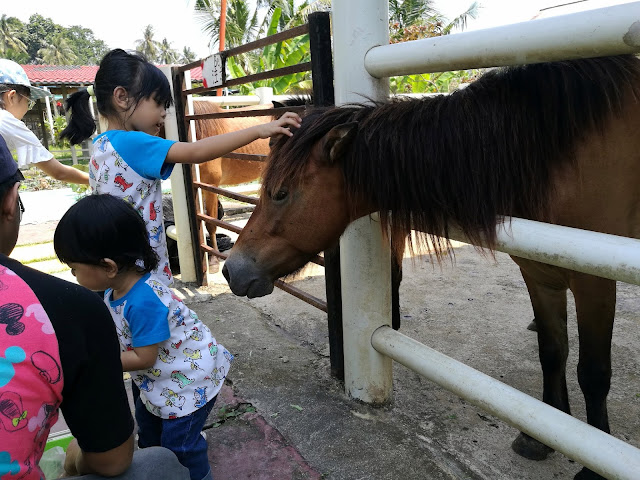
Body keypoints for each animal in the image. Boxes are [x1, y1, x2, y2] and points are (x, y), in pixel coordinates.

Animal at [222, 54, 640, 478]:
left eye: (281, 193)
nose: (231, 271)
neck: (551, 151)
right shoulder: (540, 276)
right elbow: (552, 351)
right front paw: (541, 438)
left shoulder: (594, 284)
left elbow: (594, 372)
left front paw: (593, 463)